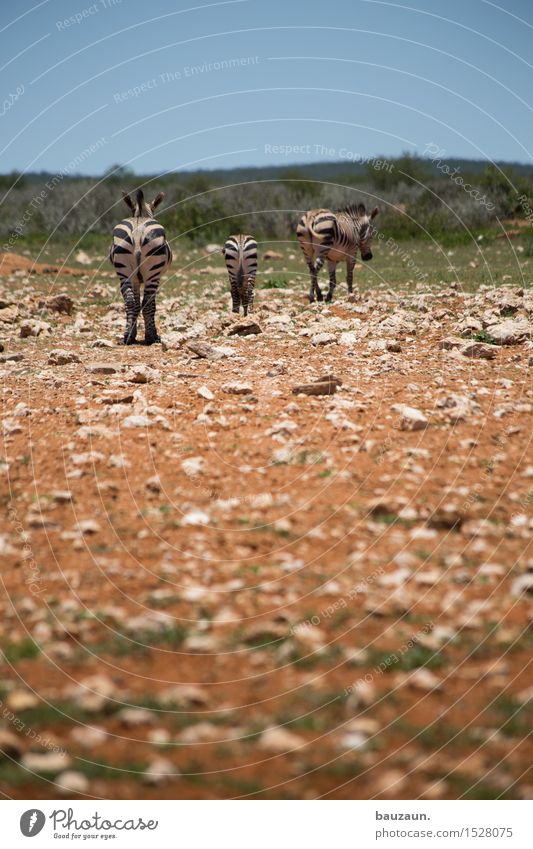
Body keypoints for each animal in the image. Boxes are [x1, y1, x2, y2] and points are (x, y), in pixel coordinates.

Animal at [109, 190, 171, 344]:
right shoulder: (156, 278)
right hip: (152, 273)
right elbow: (151, 304)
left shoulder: (135, 280)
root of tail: (137, 230)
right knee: (147, 303)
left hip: (124, 270)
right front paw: (153, 334)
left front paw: (133, 333)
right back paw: (151, 337)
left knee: (130, 301)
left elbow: (136, 304)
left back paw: (127, 336)